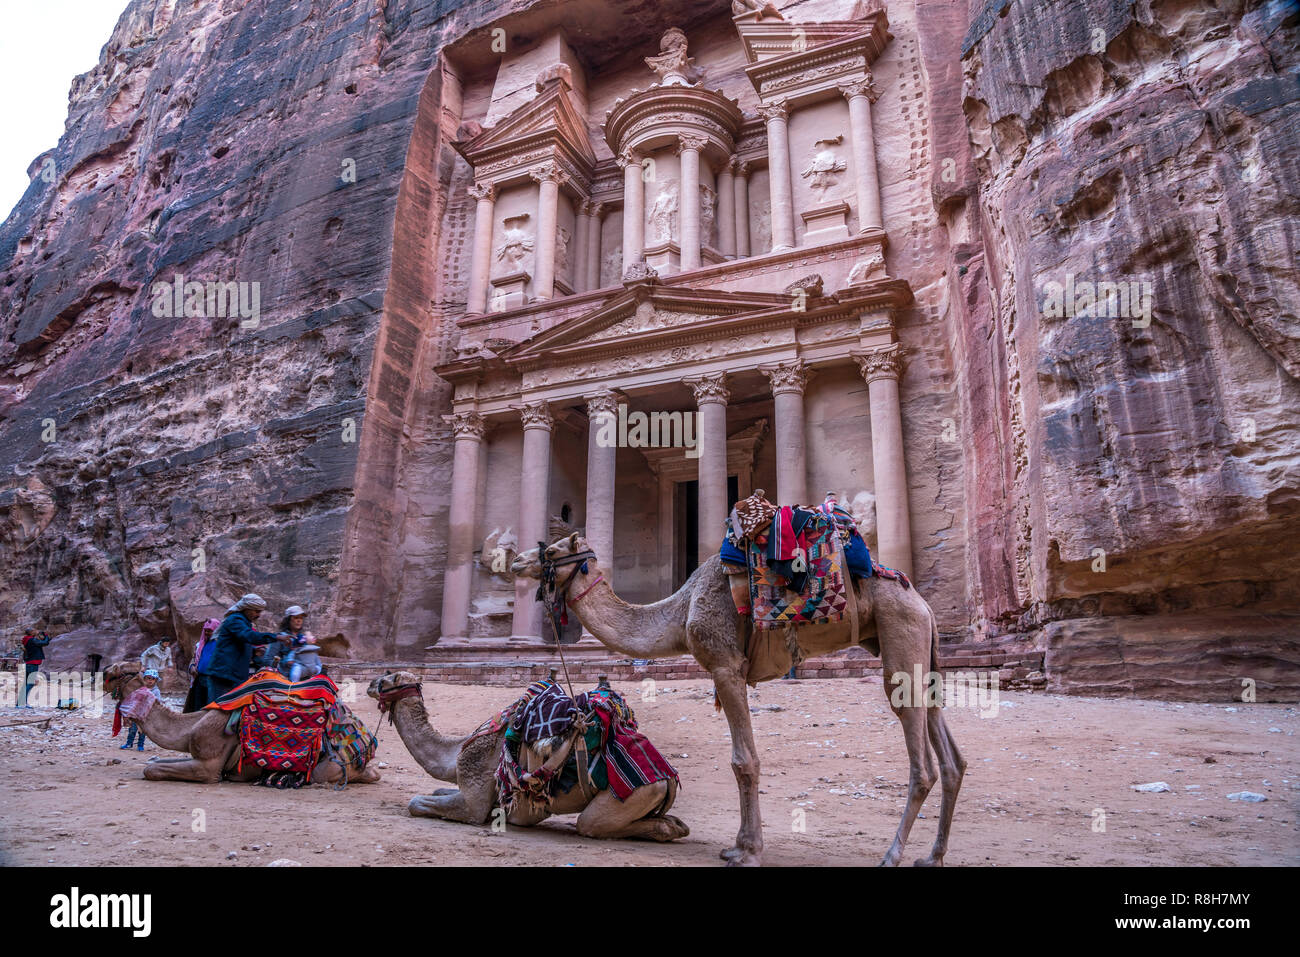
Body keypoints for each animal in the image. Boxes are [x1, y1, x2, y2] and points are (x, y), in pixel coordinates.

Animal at [509, 530, 967, 868]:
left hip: (901, 631)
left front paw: (746, 851)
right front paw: (740, 845)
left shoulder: (725, 666)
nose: (514, 561)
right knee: (951, 757)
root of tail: (924, 604)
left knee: (921, 758)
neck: (680, 610)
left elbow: (744, 762)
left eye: (551, 550)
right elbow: (744, 760)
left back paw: (892, 856)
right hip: (918, 650)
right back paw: (933, 856)